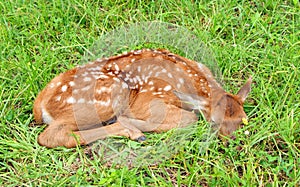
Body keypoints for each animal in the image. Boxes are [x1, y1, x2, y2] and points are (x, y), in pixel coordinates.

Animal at [34, 49, 252, 148]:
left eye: (243, 121)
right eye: (214, 123)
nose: (232, 141)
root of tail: (40, 104)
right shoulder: (149, 99)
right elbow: (191, 118)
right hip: (110, 93)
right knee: (50, 136)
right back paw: (133, 131)